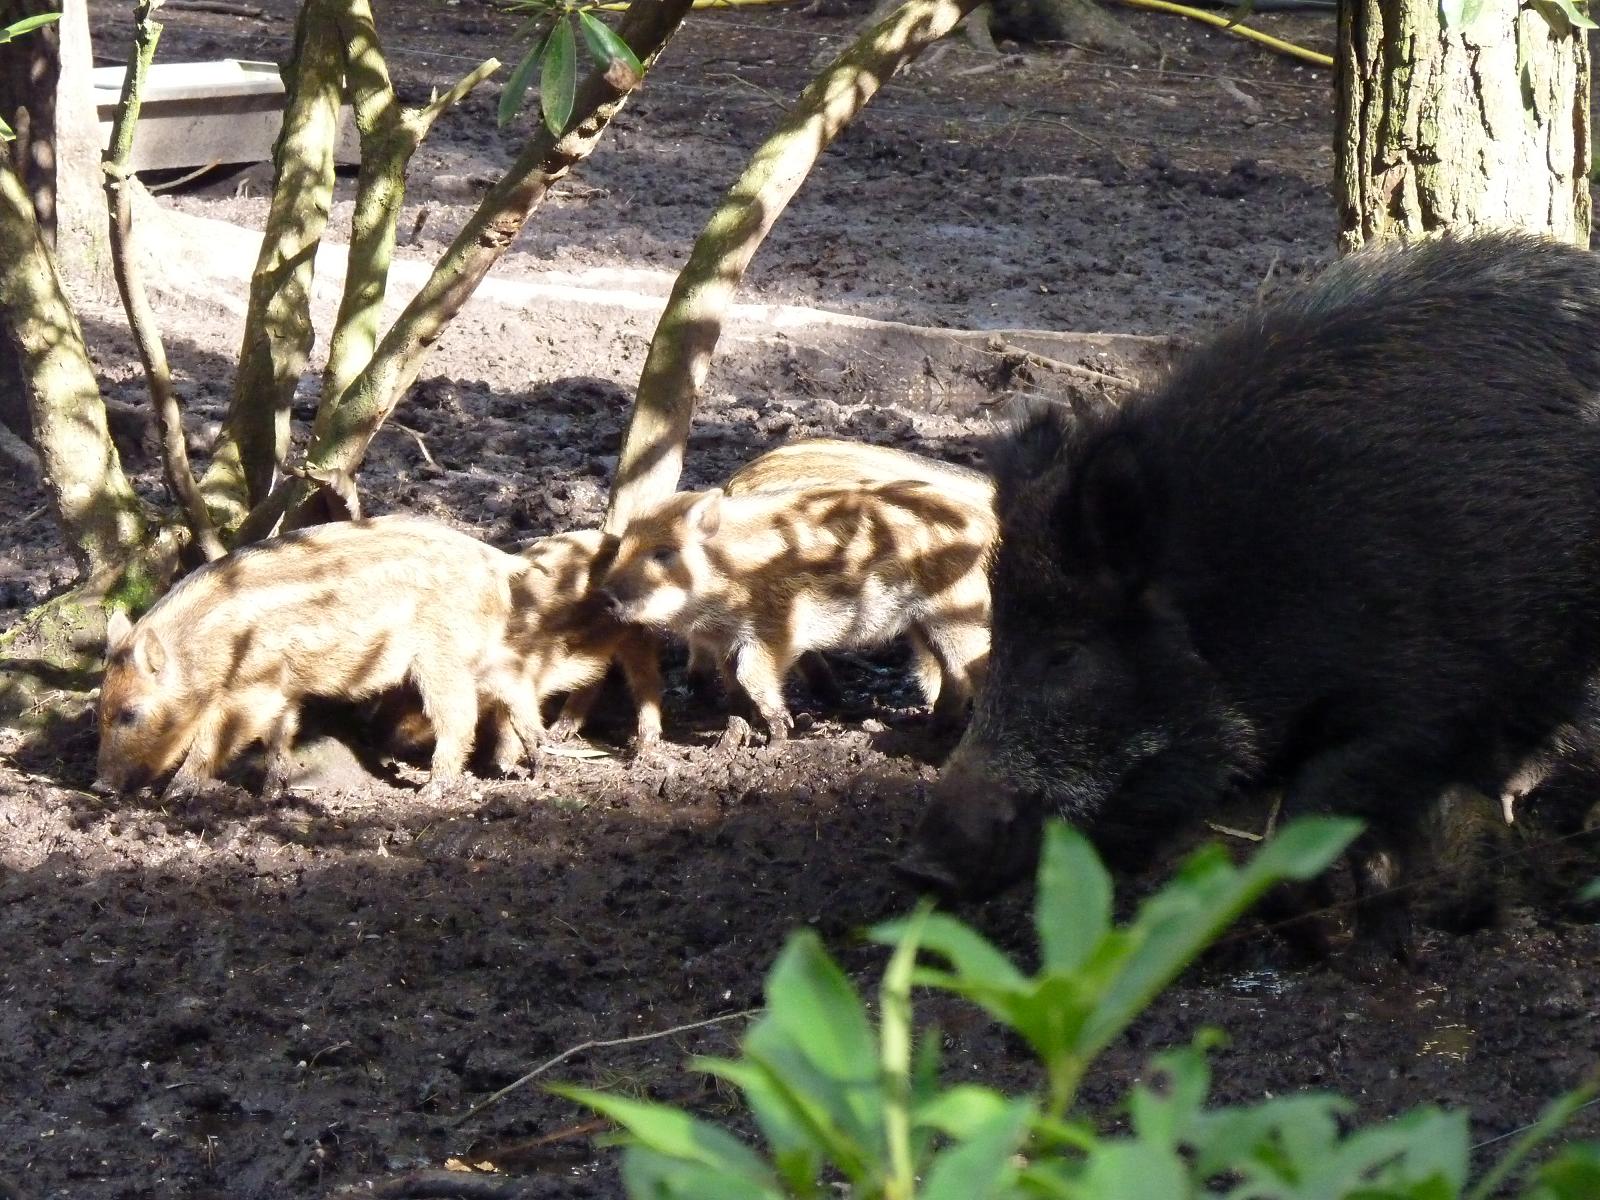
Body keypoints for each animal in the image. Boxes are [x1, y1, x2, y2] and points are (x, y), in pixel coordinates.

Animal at [96, 515, 555, 800]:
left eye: (131, 713)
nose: (101, 787)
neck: (209, 648)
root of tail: (499, 560)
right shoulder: (284, 690)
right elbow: (280, 733)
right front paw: (272, 793)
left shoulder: (254, 690)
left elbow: (218, 736)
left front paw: (175, 793)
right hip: (477, 646)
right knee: (515, 675)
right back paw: (540, 762)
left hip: (441, 655)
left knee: (460, 716)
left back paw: (432, 789)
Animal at [600, 480, 996, 744]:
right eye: (623, 545)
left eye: (663, 553)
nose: (605, 596)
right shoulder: (725, 640)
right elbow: (732, 680)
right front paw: (742, 723)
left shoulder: (778, 626)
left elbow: (750, 673)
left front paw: (779, 734)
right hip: (921, 622)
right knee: (953, 671)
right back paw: (934, 728)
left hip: (956, 609)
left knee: (974, 661)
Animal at [907, 231, 1600, 962]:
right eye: (1000, 632)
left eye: (1066, 653)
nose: (918, 867)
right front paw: (1375, 951)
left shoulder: (1434, 703)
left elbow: (1312, 811)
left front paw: (1331, 934)